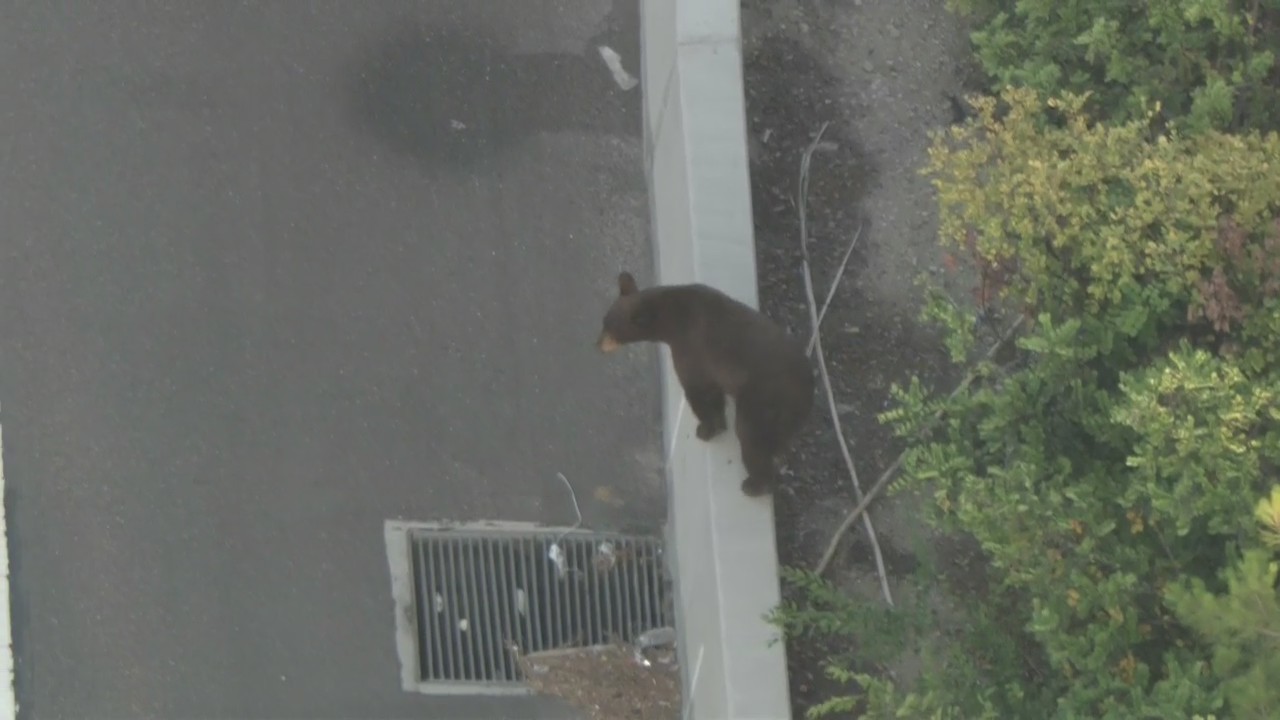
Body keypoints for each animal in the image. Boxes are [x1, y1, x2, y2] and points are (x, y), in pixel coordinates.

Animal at [597, 271, 815, 497]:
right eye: (604, 322)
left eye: (611, 330)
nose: (597, 345)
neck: (672, 320)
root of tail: (809, 391)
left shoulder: (691, 349)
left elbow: (700, 391)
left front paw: (705, 429)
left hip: (764, 403)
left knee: (751, 438)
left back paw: (753, 484)